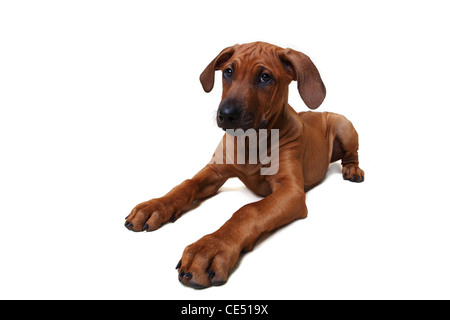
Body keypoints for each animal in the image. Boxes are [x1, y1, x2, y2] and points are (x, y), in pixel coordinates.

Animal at [125, 41, 364, 288]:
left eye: (265, 77)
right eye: (228, 72)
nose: (226, 115)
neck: (251, 141)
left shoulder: (290, 191)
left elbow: (249, 210)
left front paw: (211, 247)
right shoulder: (215, 170)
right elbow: (186, 184)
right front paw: (155, 206)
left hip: (344, 125)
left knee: (352, 153)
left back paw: (352, 169)